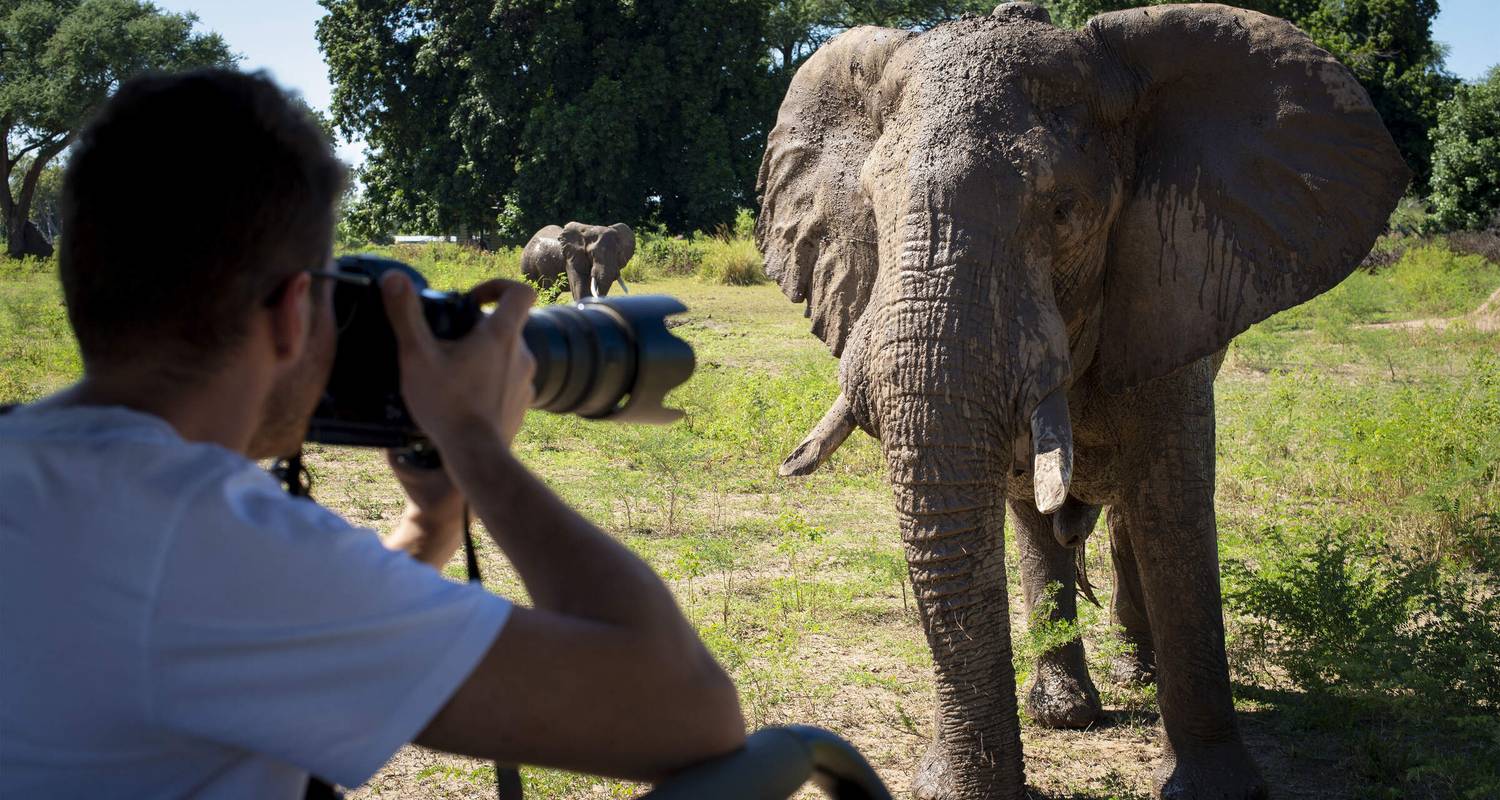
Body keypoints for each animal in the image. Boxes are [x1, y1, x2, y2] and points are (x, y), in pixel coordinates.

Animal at [756, 3, 1410, 792]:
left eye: (1064, 211)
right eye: (873, 212)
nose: (945, 786)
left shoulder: (1171, 294)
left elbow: (1174, 509)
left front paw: (1215, 789)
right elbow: (1021, 497)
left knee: (1133, 512)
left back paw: (1137, 675)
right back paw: (1065, 709)